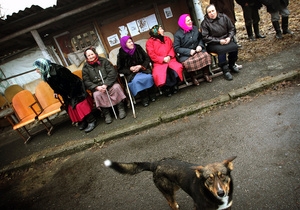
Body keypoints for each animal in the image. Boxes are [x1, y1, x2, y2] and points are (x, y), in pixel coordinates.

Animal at [105, 157, 237, 209]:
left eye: (223, 175)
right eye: (209, 179)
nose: (221, 193)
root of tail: (156, 164)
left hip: (174, 187)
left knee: (170, 202)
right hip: (167, 189)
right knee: (171, 203)